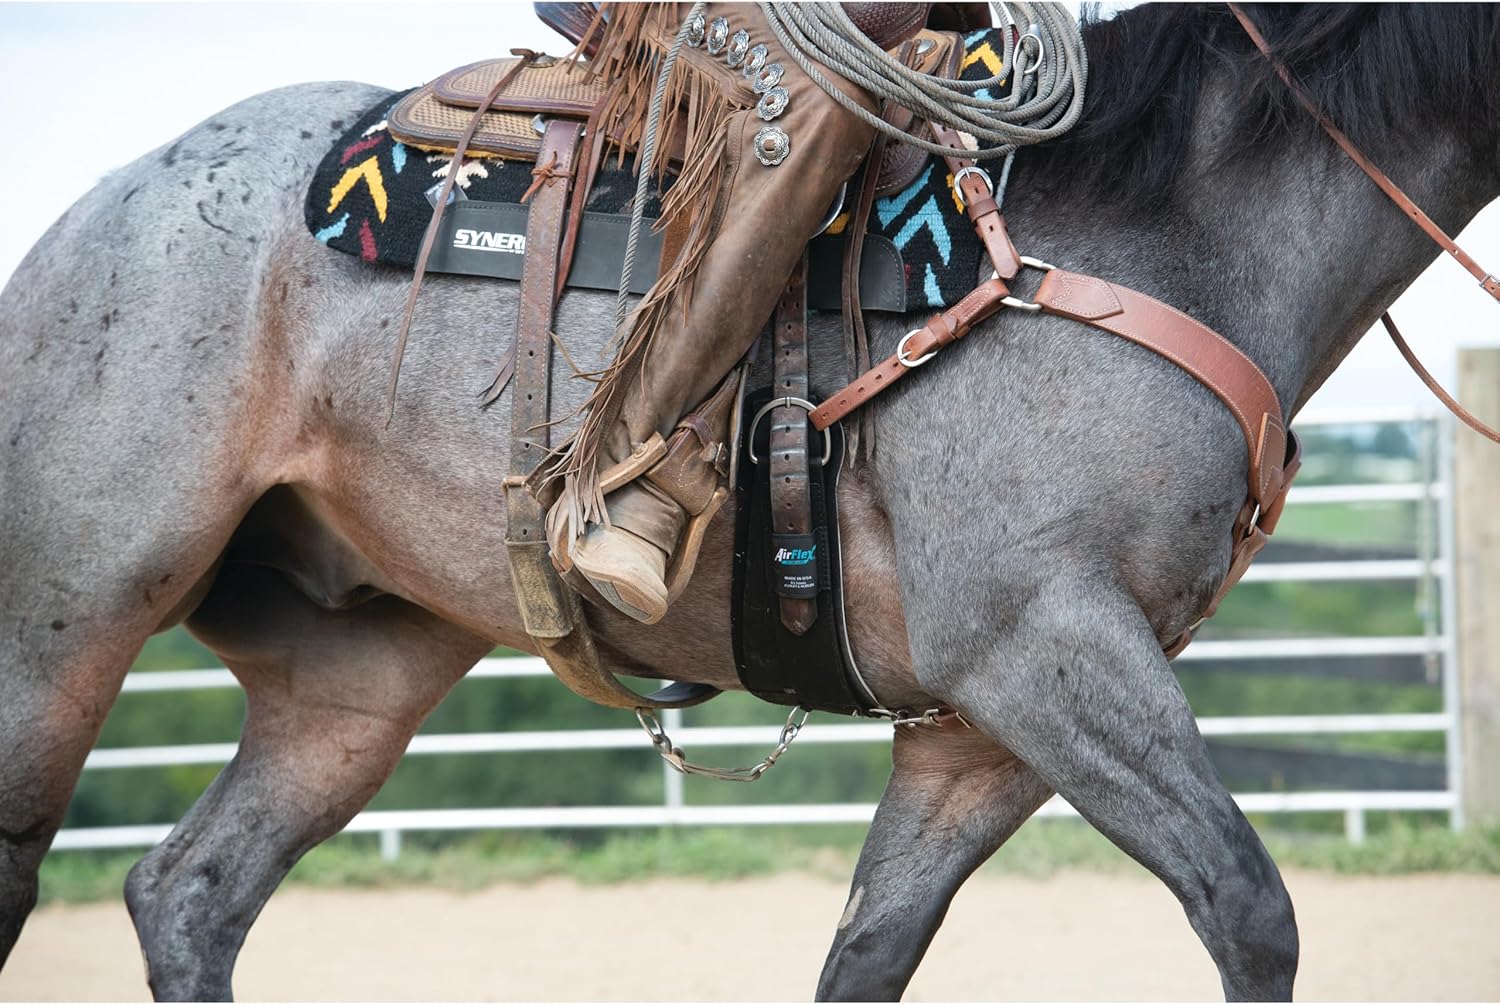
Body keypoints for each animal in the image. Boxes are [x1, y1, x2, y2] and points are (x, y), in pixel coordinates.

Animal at [2, 3, 1496, 1000]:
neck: (1158, 232)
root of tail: (108, 201)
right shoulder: (1043, 647)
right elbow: (1247, 908)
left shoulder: (987, 728)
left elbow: (869, 951)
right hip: (65, 623)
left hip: (355, 677)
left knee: (189, 893)